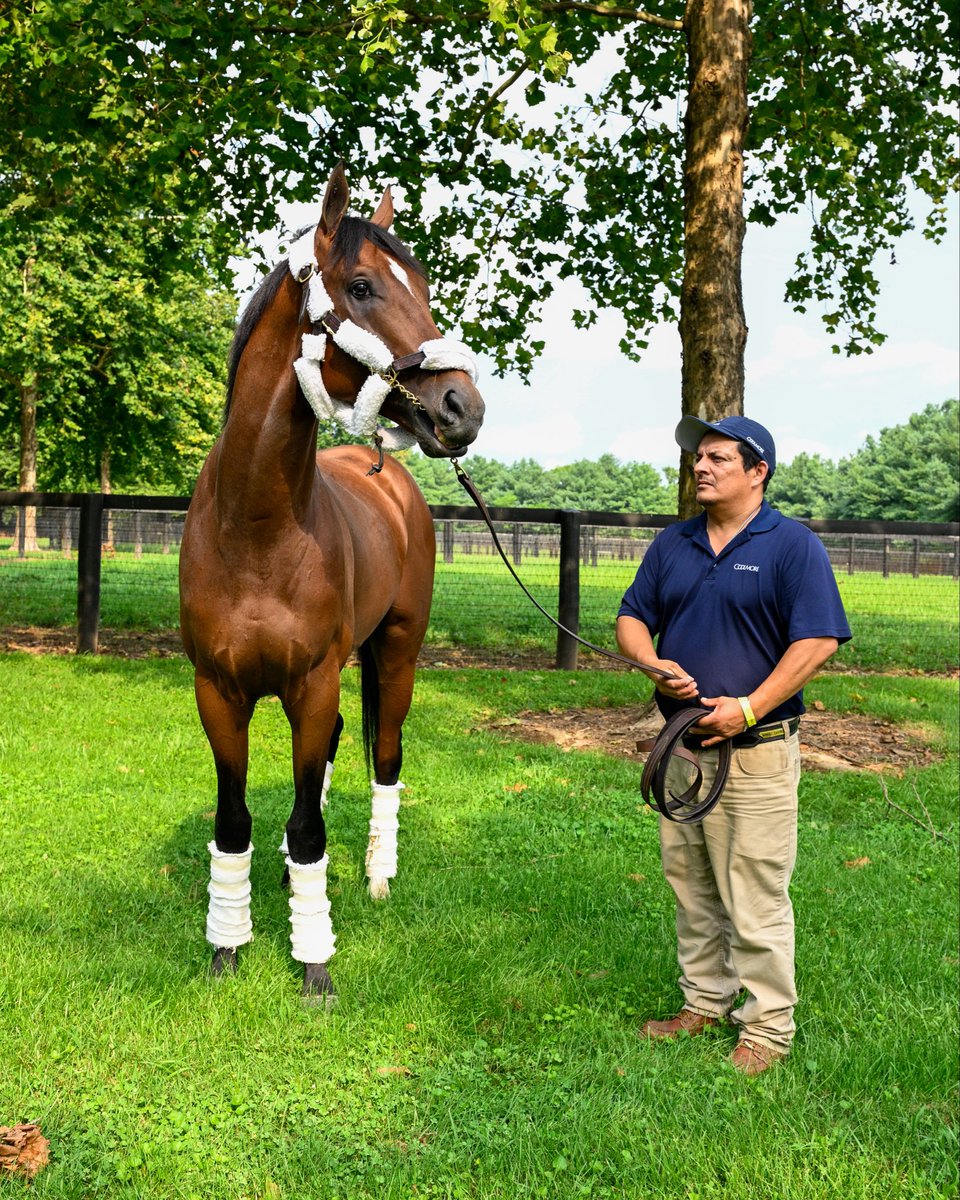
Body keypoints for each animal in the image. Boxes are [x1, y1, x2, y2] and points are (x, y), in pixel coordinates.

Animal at [179, 164, 485, 1003]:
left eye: (424, 284)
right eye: (362, 285)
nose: (463, 406)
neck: (255, 528)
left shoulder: (312, 681)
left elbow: (311, 824)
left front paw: (314, 963)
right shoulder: (219, 690)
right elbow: (235, 821)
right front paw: (228, 948)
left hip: (396, 651)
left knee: (384, 753)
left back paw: (377, 876)